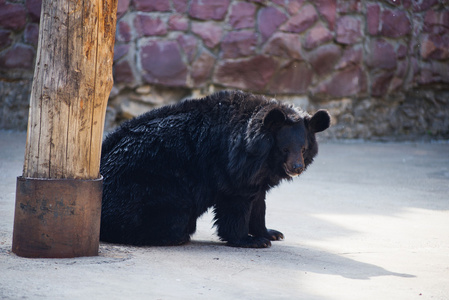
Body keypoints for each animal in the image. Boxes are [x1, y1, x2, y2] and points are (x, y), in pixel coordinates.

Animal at [99, 89, 328, 248]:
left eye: (304, 149)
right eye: (284, 149)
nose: (296, 167)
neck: (261, 157)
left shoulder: (257, 174)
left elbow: (259, 203)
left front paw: (270, 233)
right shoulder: (230, 165)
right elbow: (236, 202)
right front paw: (250, 240)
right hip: (149, 189)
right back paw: (174, 236)